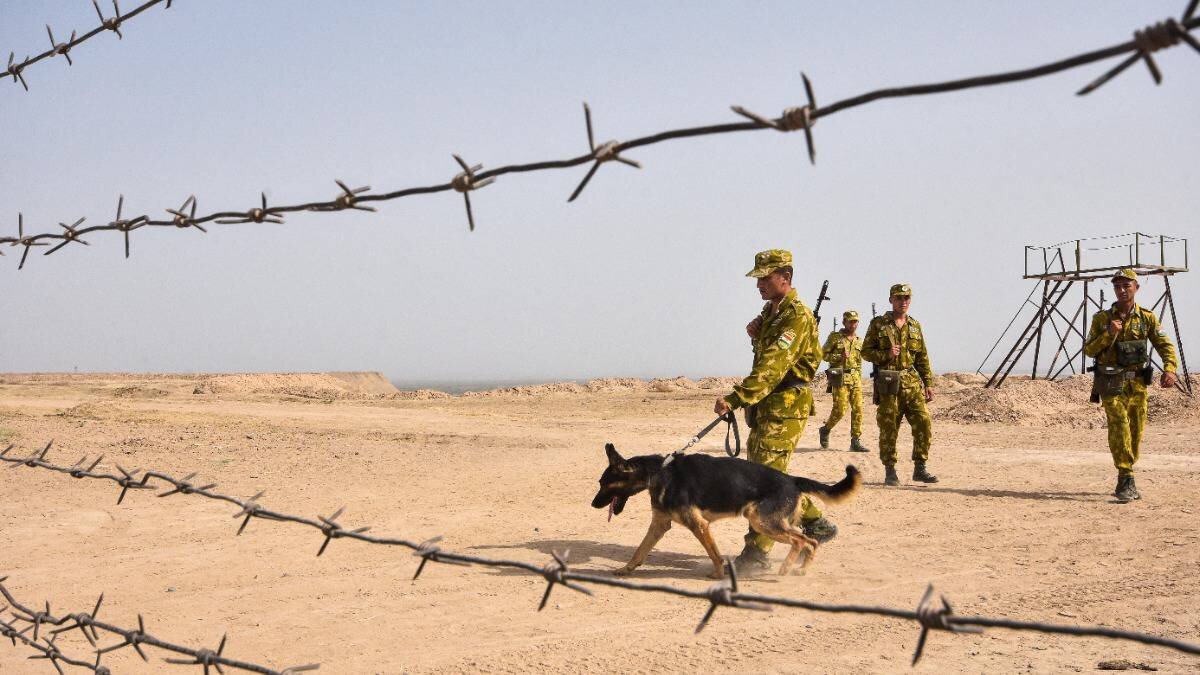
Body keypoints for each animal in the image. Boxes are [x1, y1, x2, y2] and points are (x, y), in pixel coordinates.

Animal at [592, 441, 864, 578]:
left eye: (604, 484)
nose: (593, 504)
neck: (659, 472)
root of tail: (792, 479)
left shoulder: (699, 525)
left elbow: (714, 554)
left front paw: (719, 574)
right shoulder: (660, 524)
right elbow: (640, 550)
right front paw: (626, 569)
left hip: (761, 521)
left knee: (800, 540)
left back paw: (787, 568)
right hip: (768, 522)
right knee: (810, 541)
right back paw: (802, 568)